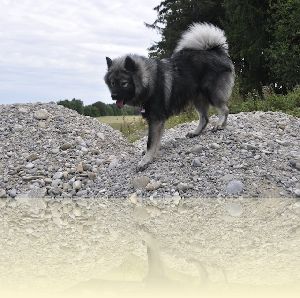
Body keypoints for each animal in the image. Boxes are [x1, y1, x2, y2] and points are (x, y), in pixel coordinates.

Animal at [104, 22, 236, 171]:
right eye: (112, 83)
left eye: (124, 83)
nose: (113, 96)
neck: (149, 82)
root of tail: (214, 50)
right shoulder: (156, 120)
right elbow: (156, 139)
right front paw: (153, 153)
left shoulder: (156, 119)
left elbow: (151, 141)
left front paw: (145, 160)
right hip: (197, 98)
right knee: (204, 118)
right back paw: (196, 132)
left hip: (211, 93)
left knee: (224, 109)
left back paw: (219, 125)